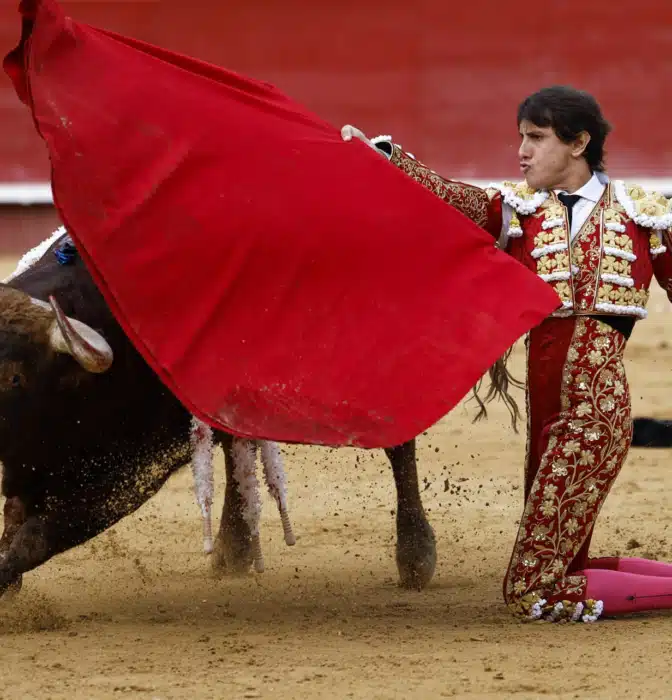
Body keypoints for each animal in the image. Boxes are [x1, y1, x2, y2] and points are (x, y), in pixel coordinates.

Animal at [0, 228, 436, 598]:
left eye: (16, 377)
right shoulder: (28, 467)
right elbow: (16, 519)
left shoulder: (130, 473)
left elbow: (40, 535)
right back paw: (234, 548)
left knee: (399, 444)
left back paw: (415, 556)